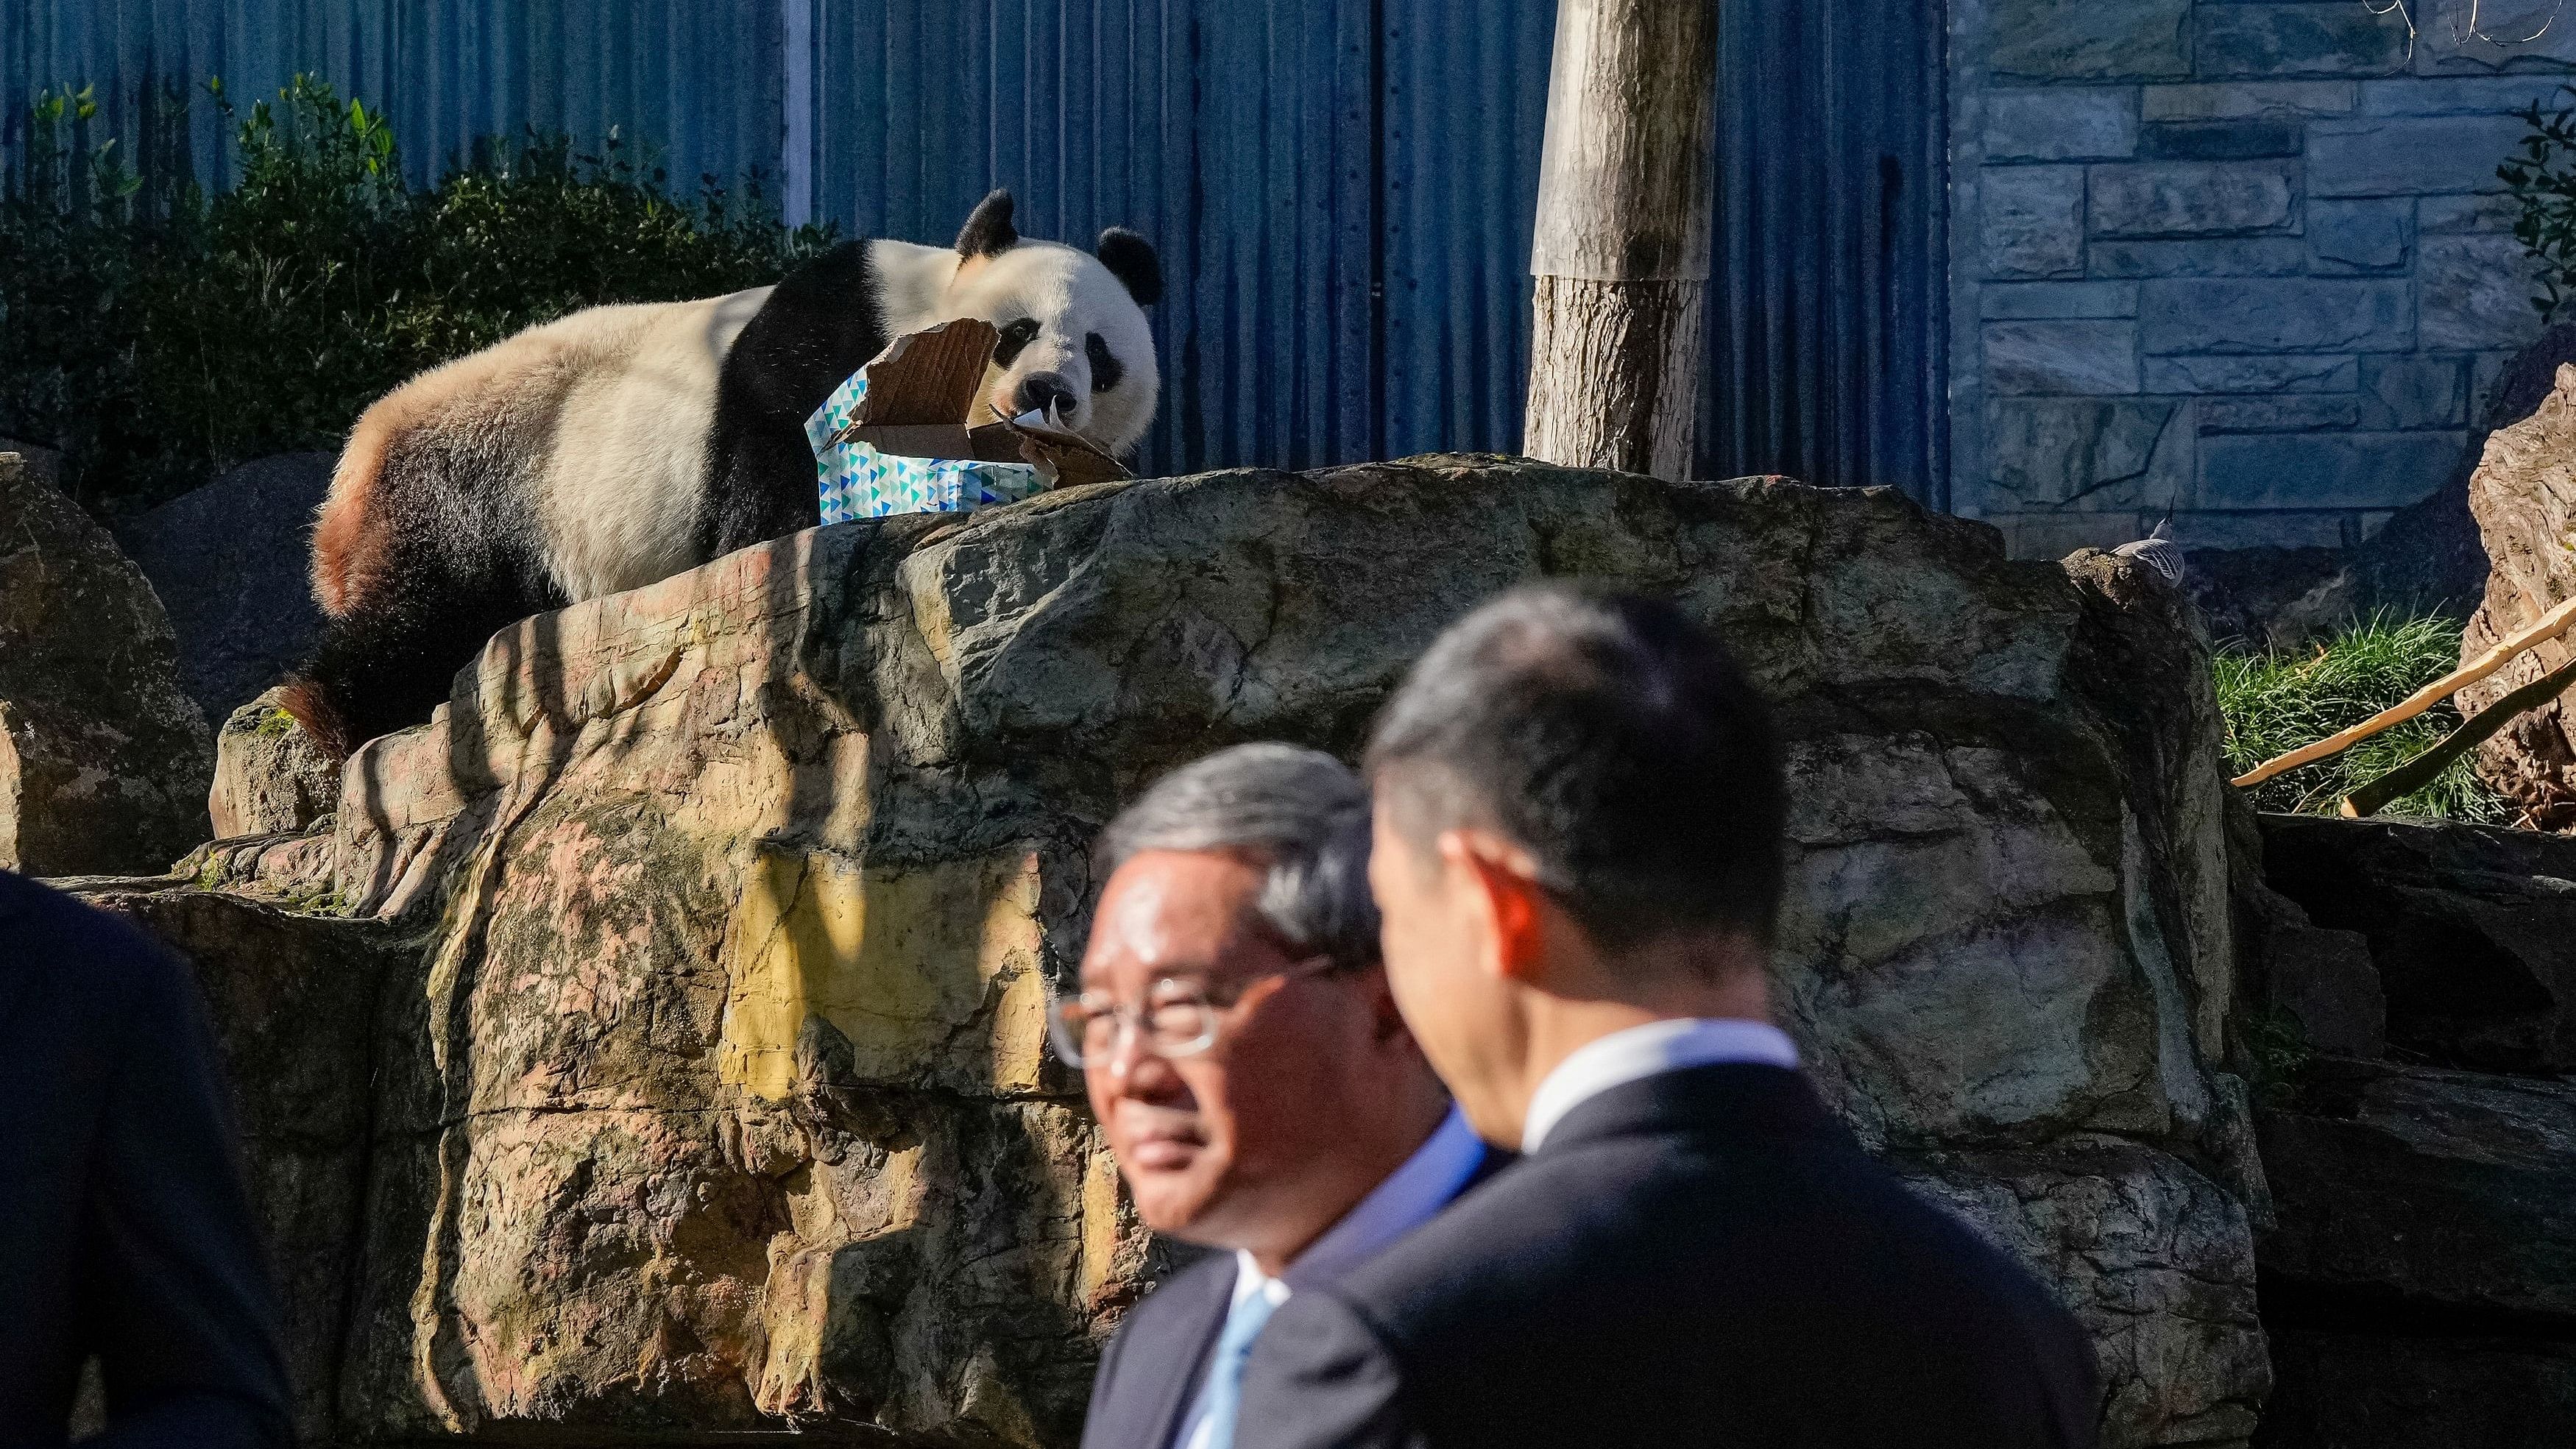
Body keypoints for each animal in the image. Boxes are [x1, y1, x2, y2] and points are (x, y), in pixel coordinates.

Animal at [287, 190, 1164, 762]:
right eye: (1016, 331)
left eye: (1100, 354)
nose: (1048, 391)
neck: (921, 315)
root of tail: (351, 475)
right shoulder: (829, 331)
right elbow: (769, 462)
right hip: (483, 471)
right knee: (426, 604)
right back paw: (338, 715)